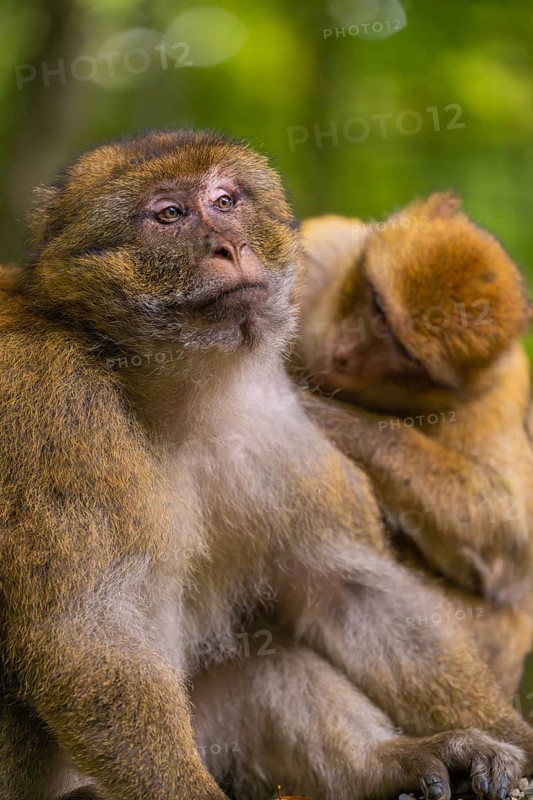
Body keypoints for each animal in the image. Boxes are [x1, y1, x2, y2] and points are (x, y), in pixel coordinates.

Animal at [289, 193, 533, 694]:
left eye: (405, 353)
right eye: (379, 309)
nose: (345, 357)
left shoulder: (493, 396)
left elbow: (506, 530)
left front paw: (324, 414)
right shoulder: (328, 250)